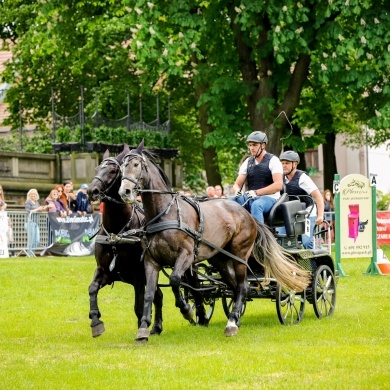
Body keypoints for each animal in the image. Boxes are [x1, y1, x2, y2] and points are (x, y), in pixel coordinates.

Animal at [86, 146, 163, 338]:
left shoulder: (138, 276)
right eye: (97, 168)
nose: (92, 191)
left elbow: (139, 306)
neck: (117, 232)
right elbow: (92, 289)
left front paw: (142, 328)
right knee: (158, 296)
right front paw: (95, 320)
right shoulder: (104, 270)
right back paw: (157, 326)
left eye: (114, 171)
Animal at [119, 142, 310, 342]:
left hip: (240, 257)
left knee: (243, 286)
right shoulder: (151, 261)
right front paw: (143, 329)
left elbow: (175, 280)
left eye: (136, 165)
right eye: (122, 167)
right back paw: (235, 317)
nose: (124, 192)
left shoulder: (186, 256)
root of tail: (246, 213)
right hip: (220, 260)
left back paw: (232, 324)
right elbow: (150, 293)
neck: (165, 213)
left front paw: (187, 310)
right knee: (236, 288)